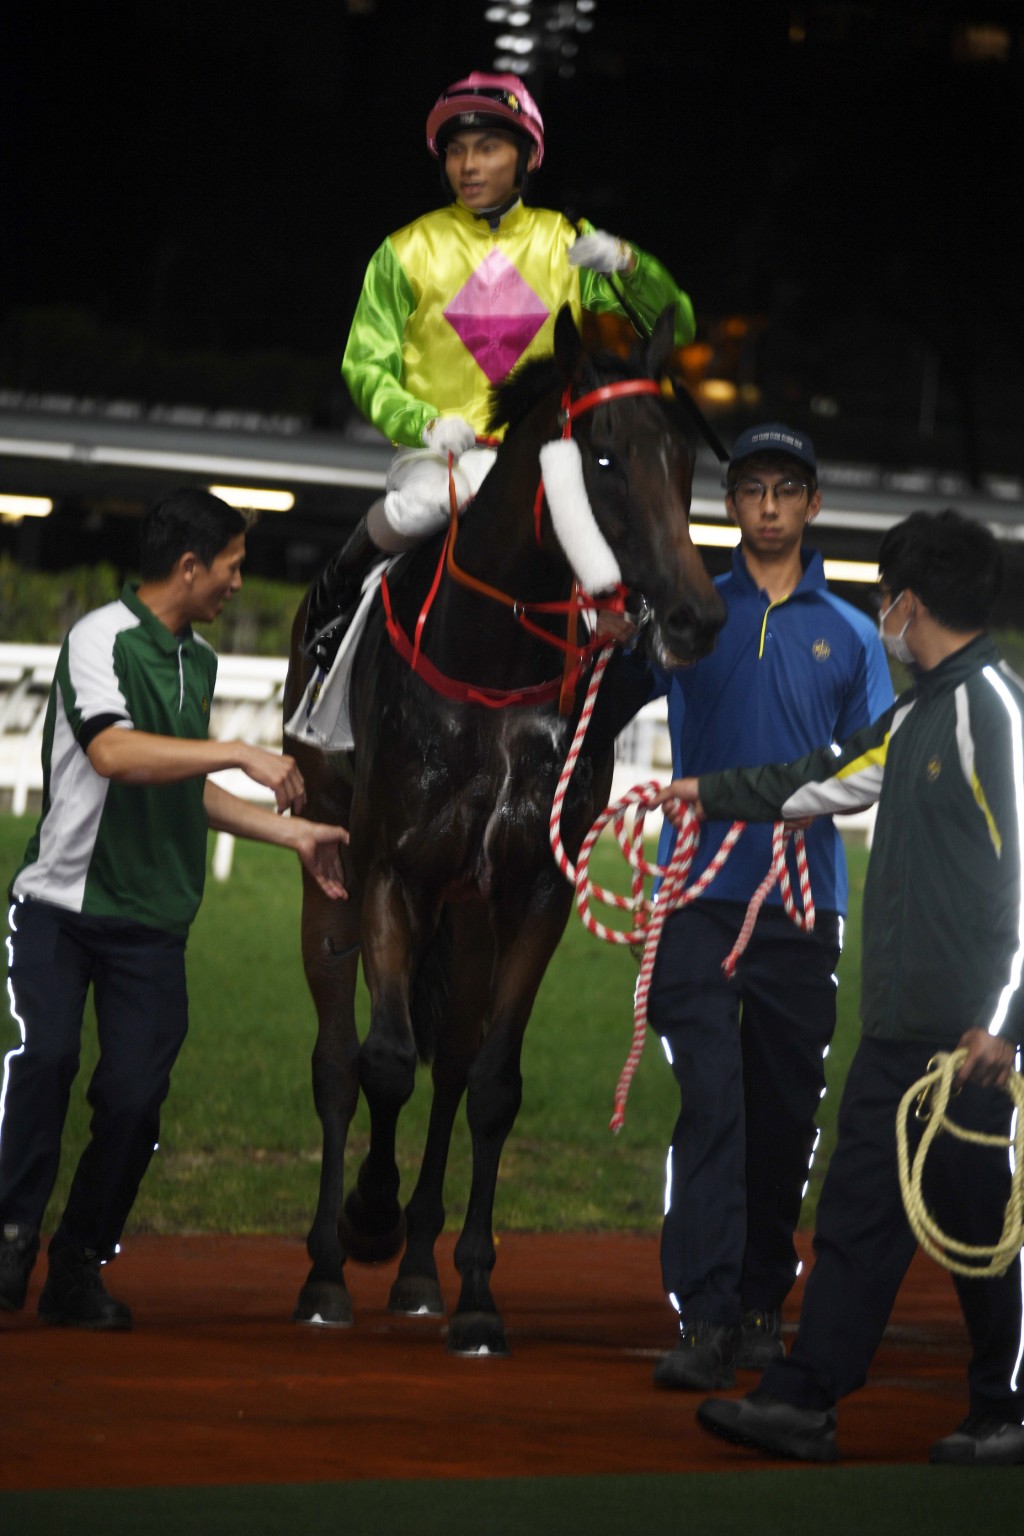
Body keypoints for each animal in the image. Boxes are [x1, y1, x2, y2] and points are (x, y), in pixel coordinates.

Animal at [284, 308, 724, 1357]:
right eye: (602, 458)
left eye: (685, 458)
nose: (697, 613)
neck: (488, 670)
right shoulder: (391, 872)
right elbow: (381, 1060)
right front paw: (366, 1217)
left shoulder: (532, 890)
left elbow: (488, 1082)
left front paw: (474, 1293)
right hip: (326, 867)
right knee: (336, 1059)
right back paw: (330, 1265)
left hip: (472, 913)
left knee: (449, 1058)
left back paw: (416, 1274)